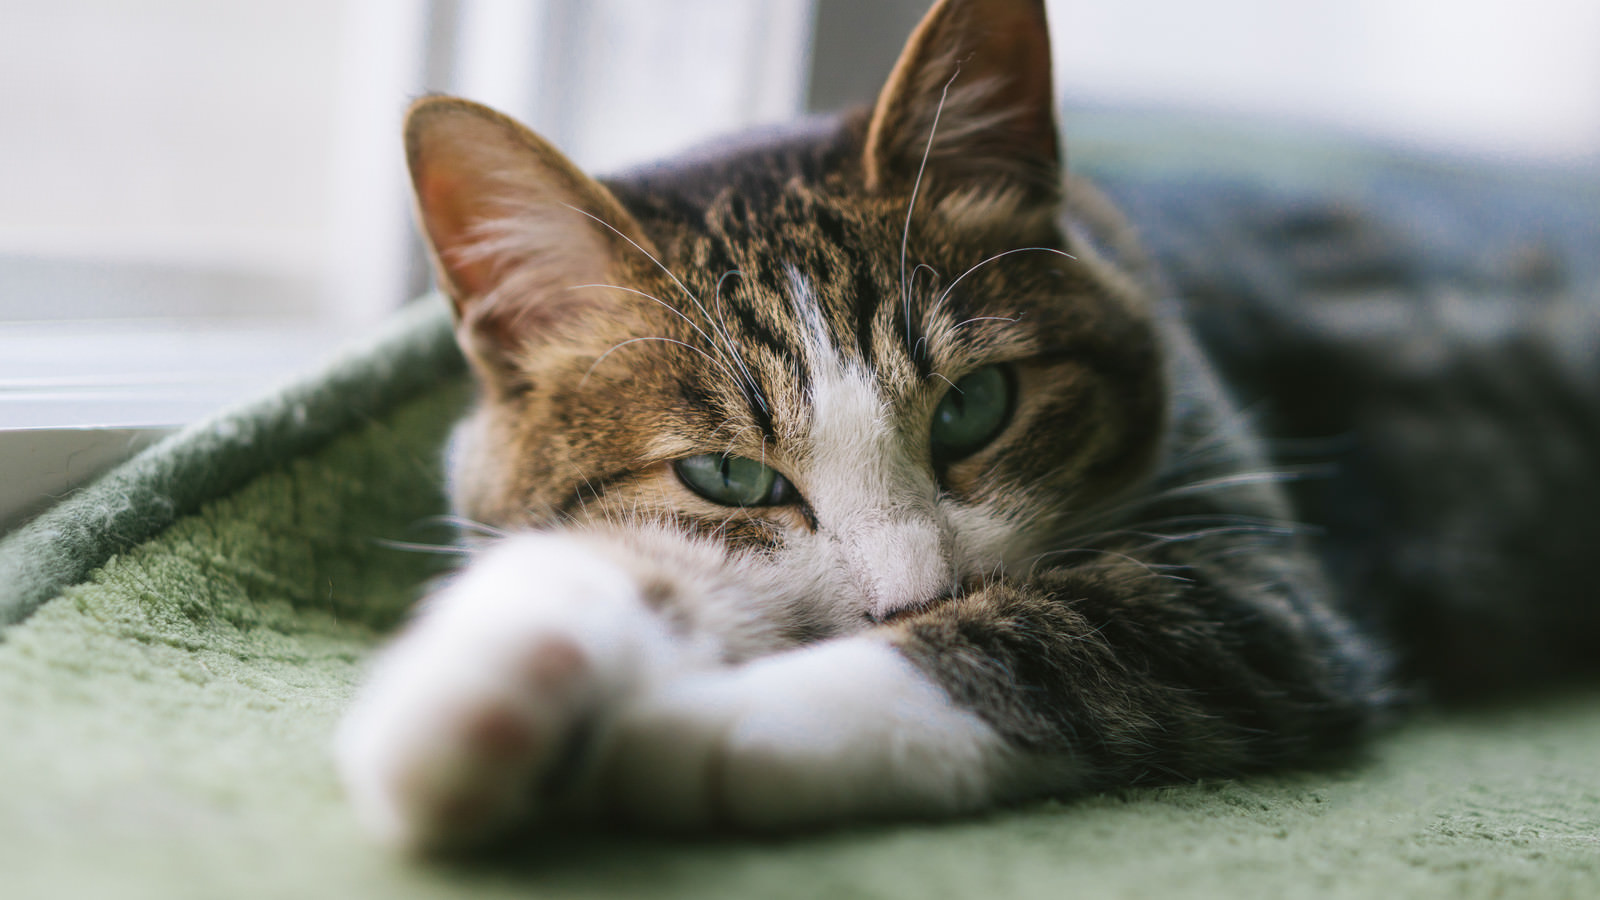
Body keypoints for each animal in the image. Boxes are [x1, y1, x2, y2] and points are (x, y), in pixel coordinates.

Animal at [331, 0, 1593, 851]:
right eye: (727, 477)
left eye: (974, 406)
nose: (915, 596)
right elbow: (635, 569)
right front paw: (484, 689)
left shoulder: (1258, 586)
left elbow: (1043, 638)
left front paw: (670, 739)